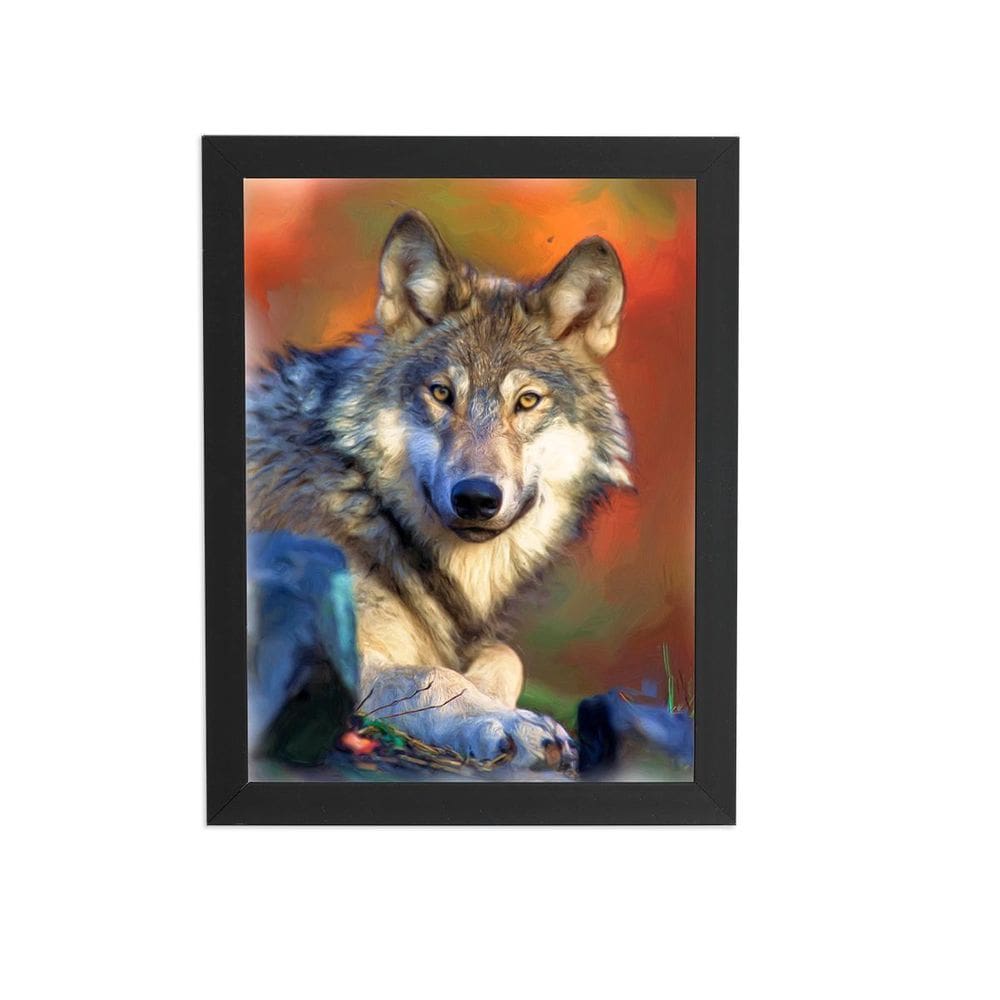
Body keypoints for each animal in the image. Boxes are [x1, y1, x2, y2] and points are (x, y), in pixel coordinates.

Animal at [247, 211, 632, 770]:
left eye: (527, 401)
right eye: (442, 393)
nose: (476, 498)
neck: (369, 504)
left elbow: (505, 656)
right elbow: (433, 675)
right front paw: (510, 723)